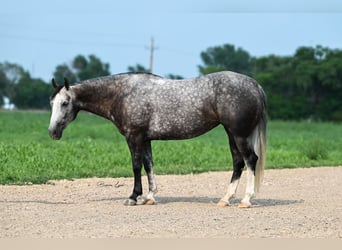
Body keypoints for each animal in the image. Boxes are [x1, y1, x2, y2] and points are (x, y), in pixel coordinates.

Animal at [48, 71, 268, 207]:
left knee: (250, 160)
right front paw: (150, 197)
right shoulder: (145, 139)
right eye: (51, 103)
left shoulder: (134, 137)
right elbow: (149, 165)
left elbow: (136, 166)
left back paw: (246, 200)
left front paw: (133, 197)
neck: (122, 93)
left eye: (65, 103)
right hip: (231, 134)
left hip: (239, 134)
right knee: (238, 162)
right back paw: (225, 199)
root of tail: (255, 85)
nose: (52, 132)